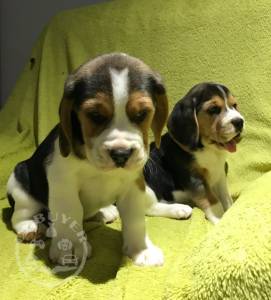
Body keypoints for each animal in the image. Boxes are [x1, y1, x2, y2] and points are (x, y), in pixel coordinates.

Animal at [6, 52, 170, 266]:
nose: (121, 154)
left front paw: (141, 249)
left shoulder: (133, 185)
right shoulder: (63, 183)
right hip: (20, 181)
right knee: (19, 214)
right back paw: (29, 227)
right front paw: (71, 247)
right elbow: (71, 211)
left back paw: (104, 211)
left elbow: (135, 219)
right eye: (95, 115)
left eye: (142, 114)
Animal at [146, 82, 245, 223]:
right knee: (147, 207)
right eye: (213, 109)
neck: (207, 148)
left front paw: (230, 210)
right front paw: (220, 219)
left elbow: (225, 197)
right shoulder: (194, 177)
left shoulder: (220, 172)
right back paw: (179, 209)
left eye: (234, 105)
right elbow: (212, 200)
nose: (239, 122)